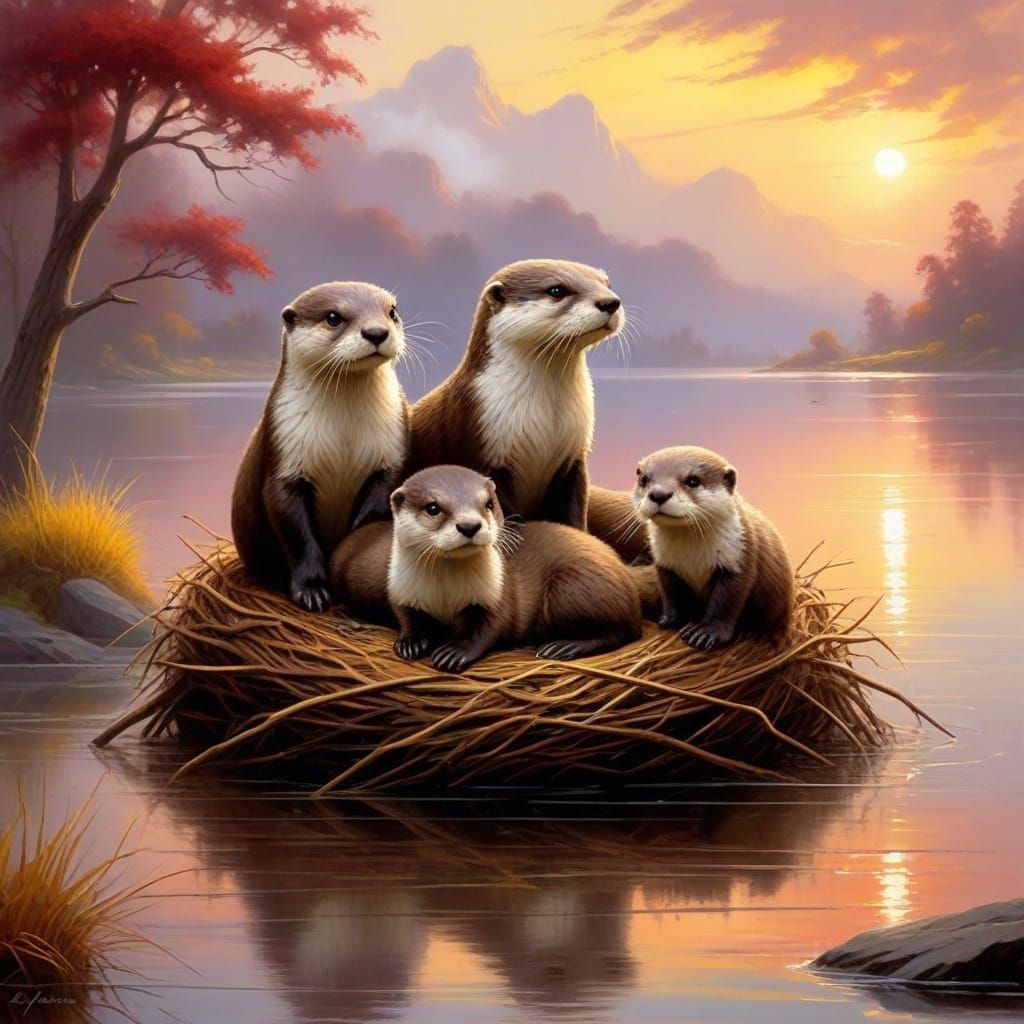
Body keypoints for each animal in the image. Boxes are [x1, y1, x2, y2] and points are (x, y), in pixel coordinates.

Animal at [231, 282, 408, 612]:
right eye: (333, 317)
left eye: (391, 311)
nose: (377, 332)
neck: (344, 440)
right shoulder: (284, 466)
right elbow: (298, 536)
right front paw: (311, 590)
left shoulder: (393, 453)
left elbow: (379, 501)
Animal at [329, 465, 642, 672]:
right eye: (433, 507)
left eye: (489, 504)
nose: (469, 525)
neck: (444, 594)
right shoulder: (402, 591)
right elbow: (407, 618)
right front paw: (411, 643)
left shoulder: (496, 596)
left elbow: (489, 628)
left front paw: (453, 653)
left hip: (573, 588)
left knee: (618, 631)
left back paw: (562, 646)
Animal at [406, 260, 625, 529]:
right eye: (556, 290)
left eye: (607, 284)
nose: (610, 302)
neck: (547, 424)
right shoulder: (479, 445)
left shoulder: (574, 457)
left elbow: (573, 510)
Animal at [632, 446, 794, 650]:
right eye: (644, 479)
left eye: (693, 480)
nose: (659, 494)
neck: (691, 557)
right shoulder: (665, 565)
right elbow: (671, 594)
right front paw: (669, 620)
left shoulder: (737, 560)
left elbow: (725, 603)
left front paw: (705, 633)